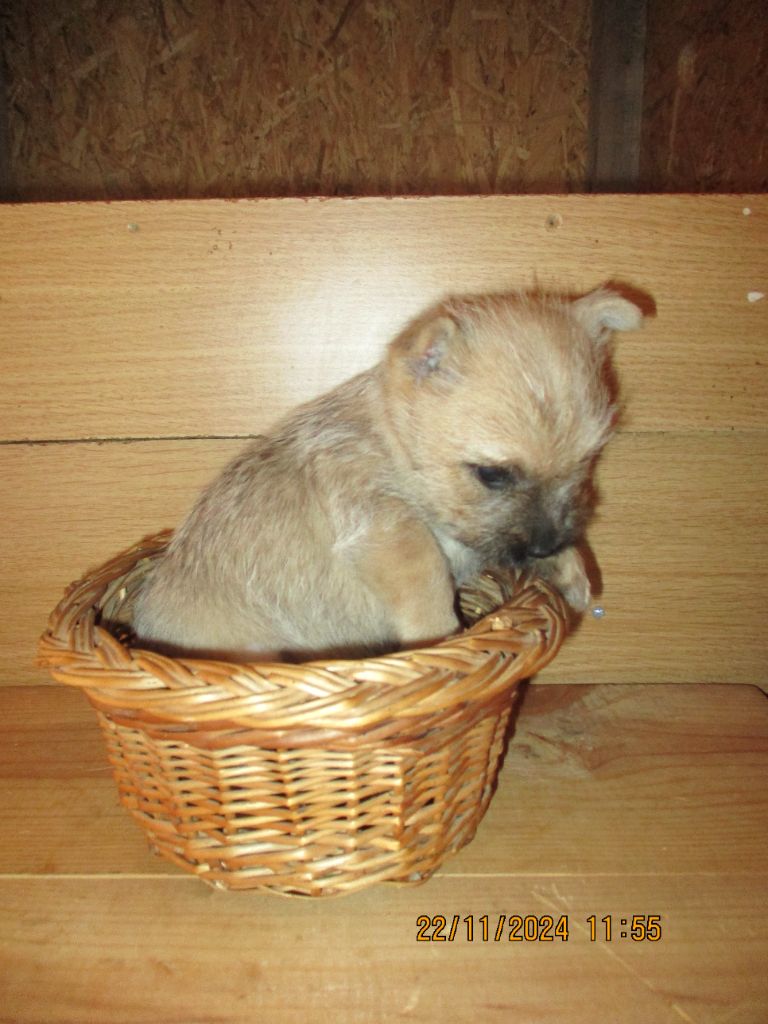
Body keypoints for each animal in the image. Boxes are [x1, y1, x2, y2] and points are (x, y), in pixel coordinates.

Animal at [133, 287, 642, 661]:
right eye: (490, 474)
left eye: (588, 459)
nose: (544, 546)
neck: (395, 447)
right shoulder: (385, 529)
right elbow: (427, 578)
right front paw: (442, 642)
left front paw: (573, 572)